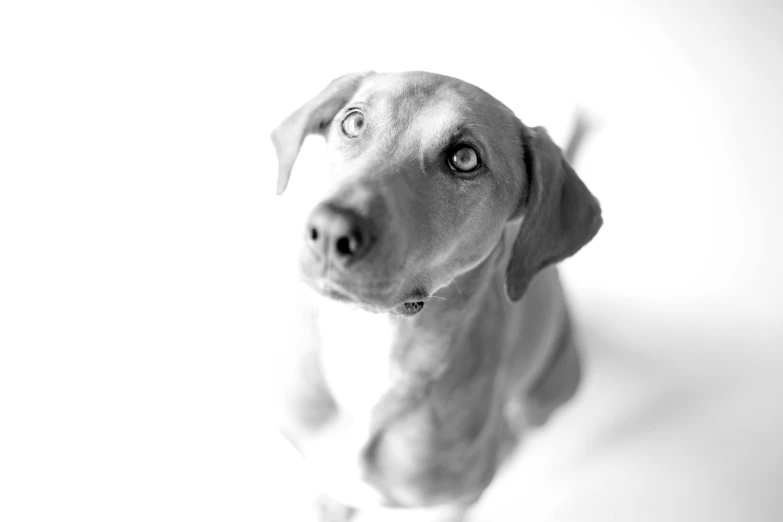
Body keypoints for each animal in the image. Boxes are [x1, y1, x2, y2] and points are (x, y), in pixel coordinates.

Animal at [272, 70, 604, 520]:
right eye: (353, 122)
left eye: (464, 159)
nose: (330, 229)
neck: (371, 346)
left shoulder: (452, 504)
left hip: (550, 389)